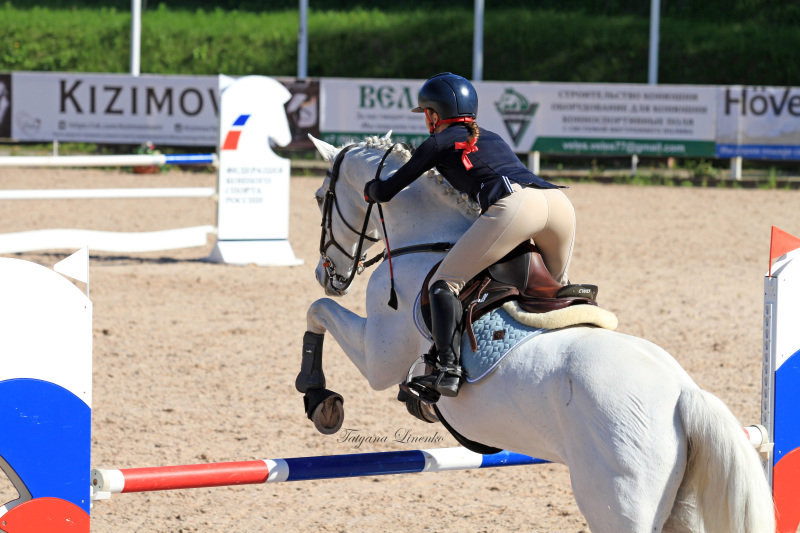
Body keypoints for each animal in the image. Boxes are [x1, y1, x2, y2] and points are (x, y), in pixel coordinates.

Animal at [298, 134, 776, 532]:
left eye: (321, 198)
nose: (327, 275)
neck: (424, 241)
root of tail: (683, 394)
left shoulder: (378, 357)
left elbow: (317, 311)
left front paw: (319, 397)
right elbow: (320, 311)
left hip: (619, 504)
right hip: (678, 509)